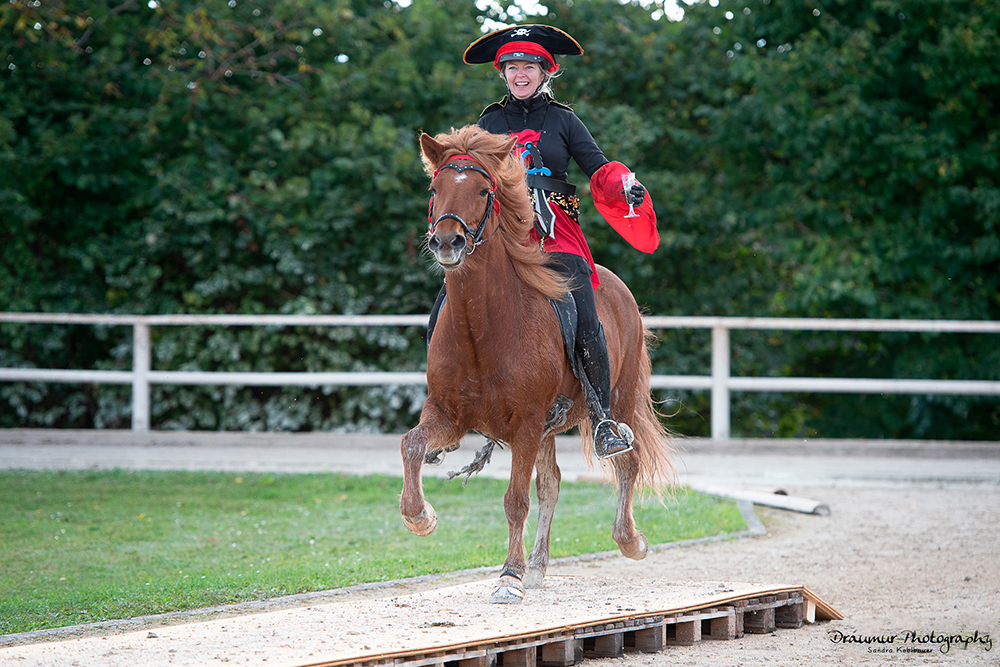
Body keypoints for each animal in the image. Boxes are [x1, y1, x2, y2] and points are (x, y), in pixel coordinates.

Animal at [398, 125, 672, 604]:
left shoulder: (525, 423)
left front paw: (509, 575)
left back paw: (630, 540)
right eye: (435, 189)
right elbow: (411, 444)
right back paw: (540, 566)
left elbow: (515, 500)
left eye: (484, 190)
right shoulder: (448, 416)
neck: (483, 327)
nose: (447, 242)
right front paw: (420, 516)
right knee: (552, 483)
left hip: (616, 403)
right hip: (548, 427)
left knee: (627, 461)